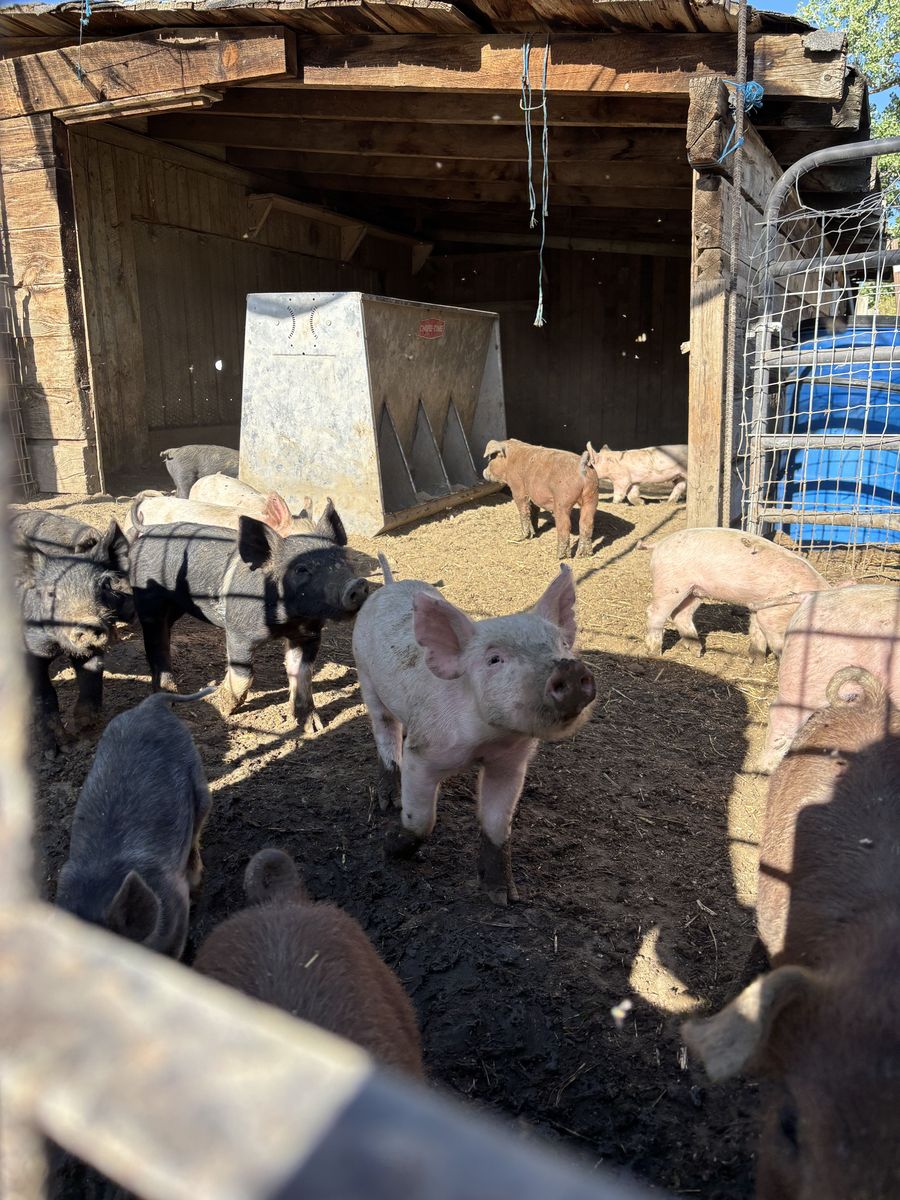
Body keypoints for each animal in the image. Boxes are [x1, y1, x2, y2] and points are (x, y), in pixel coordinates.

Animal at [18, 519, 134, 748]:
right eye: (51, 593)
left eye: (104, 585)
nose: (89, 623)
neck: (58, 647)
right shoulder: (30, 649)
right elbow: (44, 694)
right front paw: (59, 747)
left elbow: (92, 677)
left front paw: (84, 727)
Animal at [129, 502, 370, 733]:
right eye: (301, 569)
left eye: (344, 560)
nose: (357, 585)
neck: (287, 622)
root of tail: (150, 528)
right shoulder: (237, 632)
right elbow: (244, 674)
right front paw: (219, 706)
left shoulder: (308, 635)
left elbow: (301, 673)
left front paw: (313, 728)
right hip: (149, 602)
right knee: (156, 647)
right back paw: (169, 697)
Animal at [352, 558, 596, 903]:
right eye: (494, 659)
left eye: (562, 644)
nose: (570, 668)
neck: (485, 743)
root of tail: (388, 585)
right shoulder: (422, 752)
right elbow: (422, 820)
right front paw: (390, 846)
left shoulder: (510, 763)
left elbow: (497, 824)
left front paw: (504, 897)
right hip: (365, 675)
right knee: (385, 730)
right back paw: (389, 801)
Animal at [642, 528, 828, 660]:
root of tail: (659, 544)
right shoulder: (773, 612)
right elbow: (772, 634)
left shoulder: (758, 606)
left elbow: (756, 628)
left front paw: (757, 660)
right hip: (671, 584)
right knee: (655, 612)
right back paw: (655, 652)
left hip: (694, 591)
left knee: (681, 614)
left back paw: (697, 651)